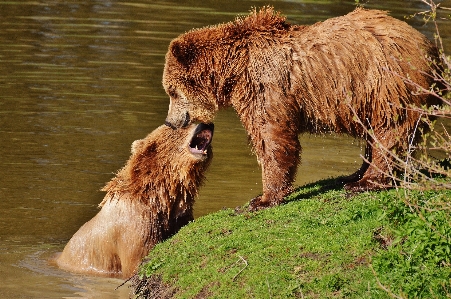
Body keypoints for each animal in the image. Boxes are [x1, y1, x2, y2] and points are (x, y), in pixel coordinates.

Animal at [162, 8, 442, 212]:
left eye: (171, 90)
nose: (170, 122)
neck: (235, 68)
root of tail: (431, 48)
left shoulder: (267, 87)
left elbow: (273, 138)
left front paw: (262, 199)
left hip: (388, 83)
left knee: (390, 130)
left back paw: (365, 182)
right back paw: (354, 174)